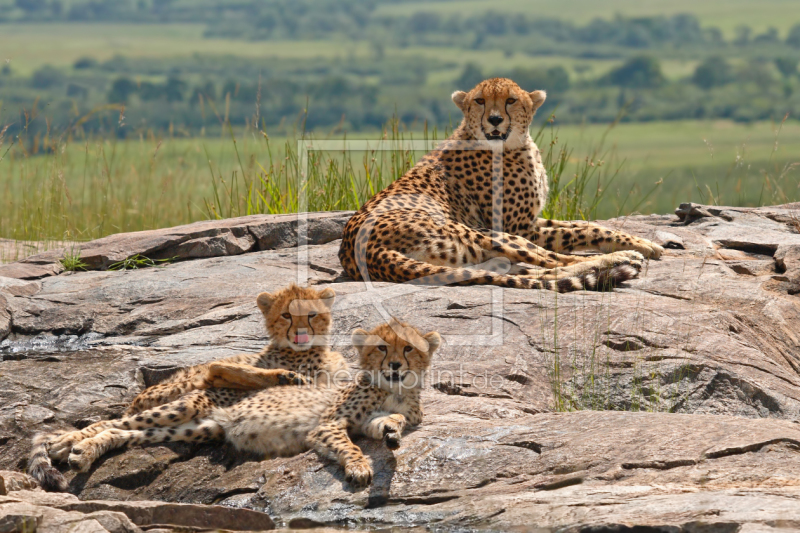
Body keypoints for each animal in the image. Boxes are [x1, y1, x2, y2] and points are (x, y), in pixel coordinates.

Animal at [34, 318, 440, 488]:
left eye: (408, 348)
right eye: (382, 348)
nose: (394, 366)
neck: (395, 389)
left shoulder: (372, 418)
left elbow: (386, 422)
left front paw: (391, 433)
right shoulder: (329, 424)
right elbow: (347, 444)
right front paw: (358, 467)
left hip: (195, 428)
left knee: (126, 434)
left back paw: (83, 452)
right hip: (186, 407)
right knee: (115, 422)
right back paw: (71, 446)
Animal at [338, 77, 664, 290]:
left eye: (511, 100)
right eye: (480, 101)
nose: (494, 120)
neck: (514, 145)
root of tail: (359, 250)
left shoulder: (532, 221)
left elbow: (585, 225)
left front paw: (646, 241)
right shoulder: (519, 227)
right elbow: (584, 232)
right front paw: (639, 247)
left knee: (531, 273)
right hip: (486, 232)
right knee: (555, 264)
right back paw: (621, 260)